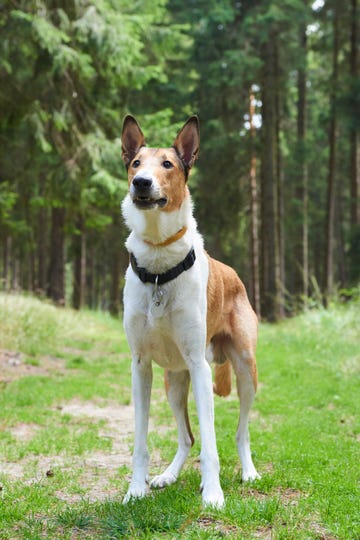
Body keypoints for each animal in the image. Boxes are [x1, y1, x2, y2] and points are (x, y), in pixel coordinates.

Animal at [122, 114, 260, 506]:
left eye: (168, 164)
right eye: (135, 163)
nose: (141, 182)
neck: (158, 264)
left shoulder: (200, 366)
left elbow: (212, 444)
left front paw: (212, 494)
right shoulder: (140, 366)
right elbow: (141, 442)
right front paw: (135, 489)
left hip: (245, 369)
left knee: (241, 431)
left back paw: (249, 471)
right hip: (173, 379)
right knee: (186, 437)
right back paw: (167, 476)